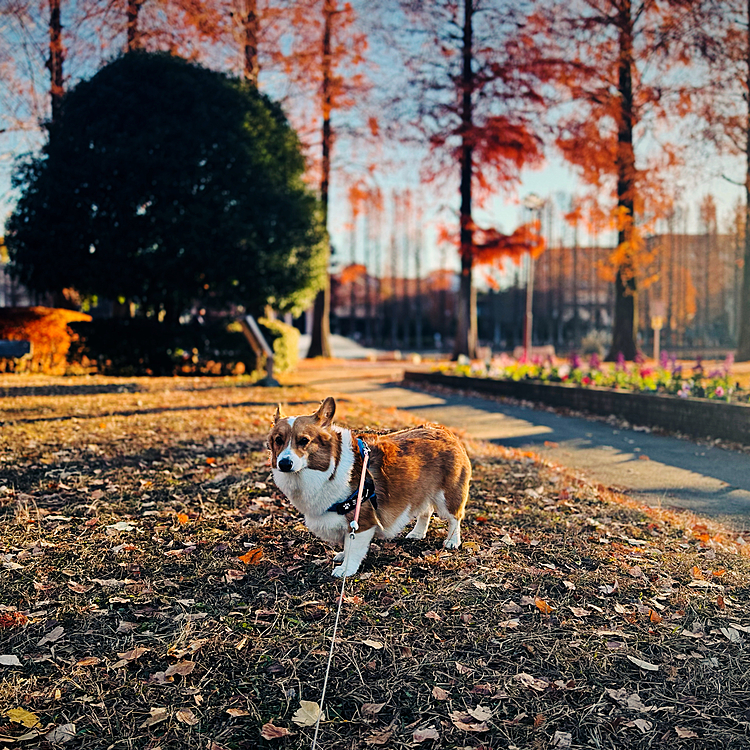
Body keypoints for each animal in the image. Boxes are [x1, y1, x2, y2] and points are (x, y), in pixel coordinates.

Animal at [268, 396, 470, 580]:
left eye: (304, 440)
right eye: (278, 440)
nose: (284, 463)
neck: (330, 468)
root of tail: (444, 430)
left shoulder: (361, 522)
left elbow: (353, 547)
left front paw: (345, 569)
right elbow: (346, 542)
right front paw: (342, 555)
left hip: (448, 495)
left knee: (455, 518)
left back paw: (452, 541)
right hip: (423, 490)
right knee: (425, 511)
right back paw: (417, 533)